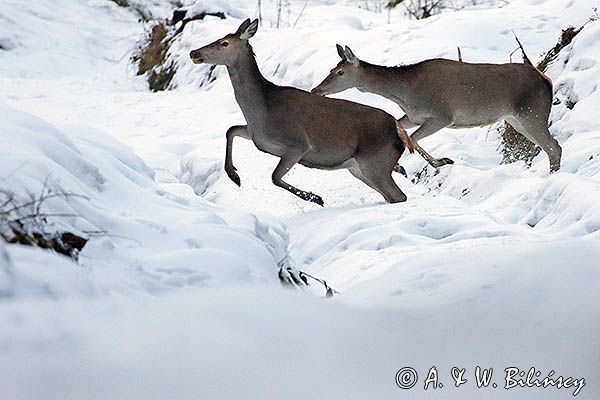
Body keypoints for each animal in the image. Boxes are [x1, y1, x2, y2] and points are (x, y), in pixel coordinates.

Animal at [190, 19, 414, 205]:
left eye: (224, 43)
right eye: (218, 39)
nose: (194, 53)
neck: (262, 110)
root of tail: (399, 132)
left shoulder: (298, 144)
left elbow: (274, 177)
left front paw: (315, 198)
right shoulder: (256, 136)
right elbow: (231, 129)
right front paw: (234, 175)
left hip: (374, 161)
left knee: (398, 195)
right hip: (359, 168)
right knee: (391, 194)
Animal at [312, 43, 560, 172]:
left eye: (340, 72)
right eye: (331, 68)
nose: (316, 89)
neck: (405, 94)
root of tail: (547, 80)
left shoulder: (442, 116)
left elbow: (413, 139)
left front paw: (440, 162)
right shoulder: (413, 116)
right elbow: (400, 127)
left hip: (532, 112)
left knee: (553, 146)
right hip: (517, 119)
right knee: (546, 146)